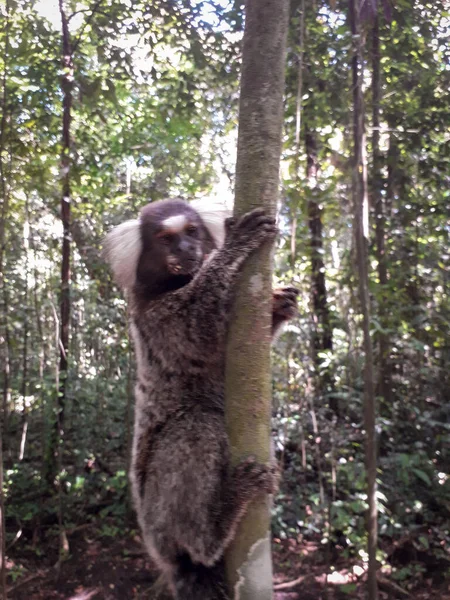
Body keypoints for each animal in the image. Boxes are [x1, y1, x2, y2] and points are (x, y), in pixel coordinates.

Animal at [103, 199, 298, 596]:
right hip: (159, 517)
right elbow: (198, 330)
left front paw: (279, 305)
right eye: (165, 239)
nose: (185, 250)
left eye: (191, 232)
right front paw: (234, 246)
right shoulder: (153, 315)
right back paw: (221, 517)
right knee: (197, 426)